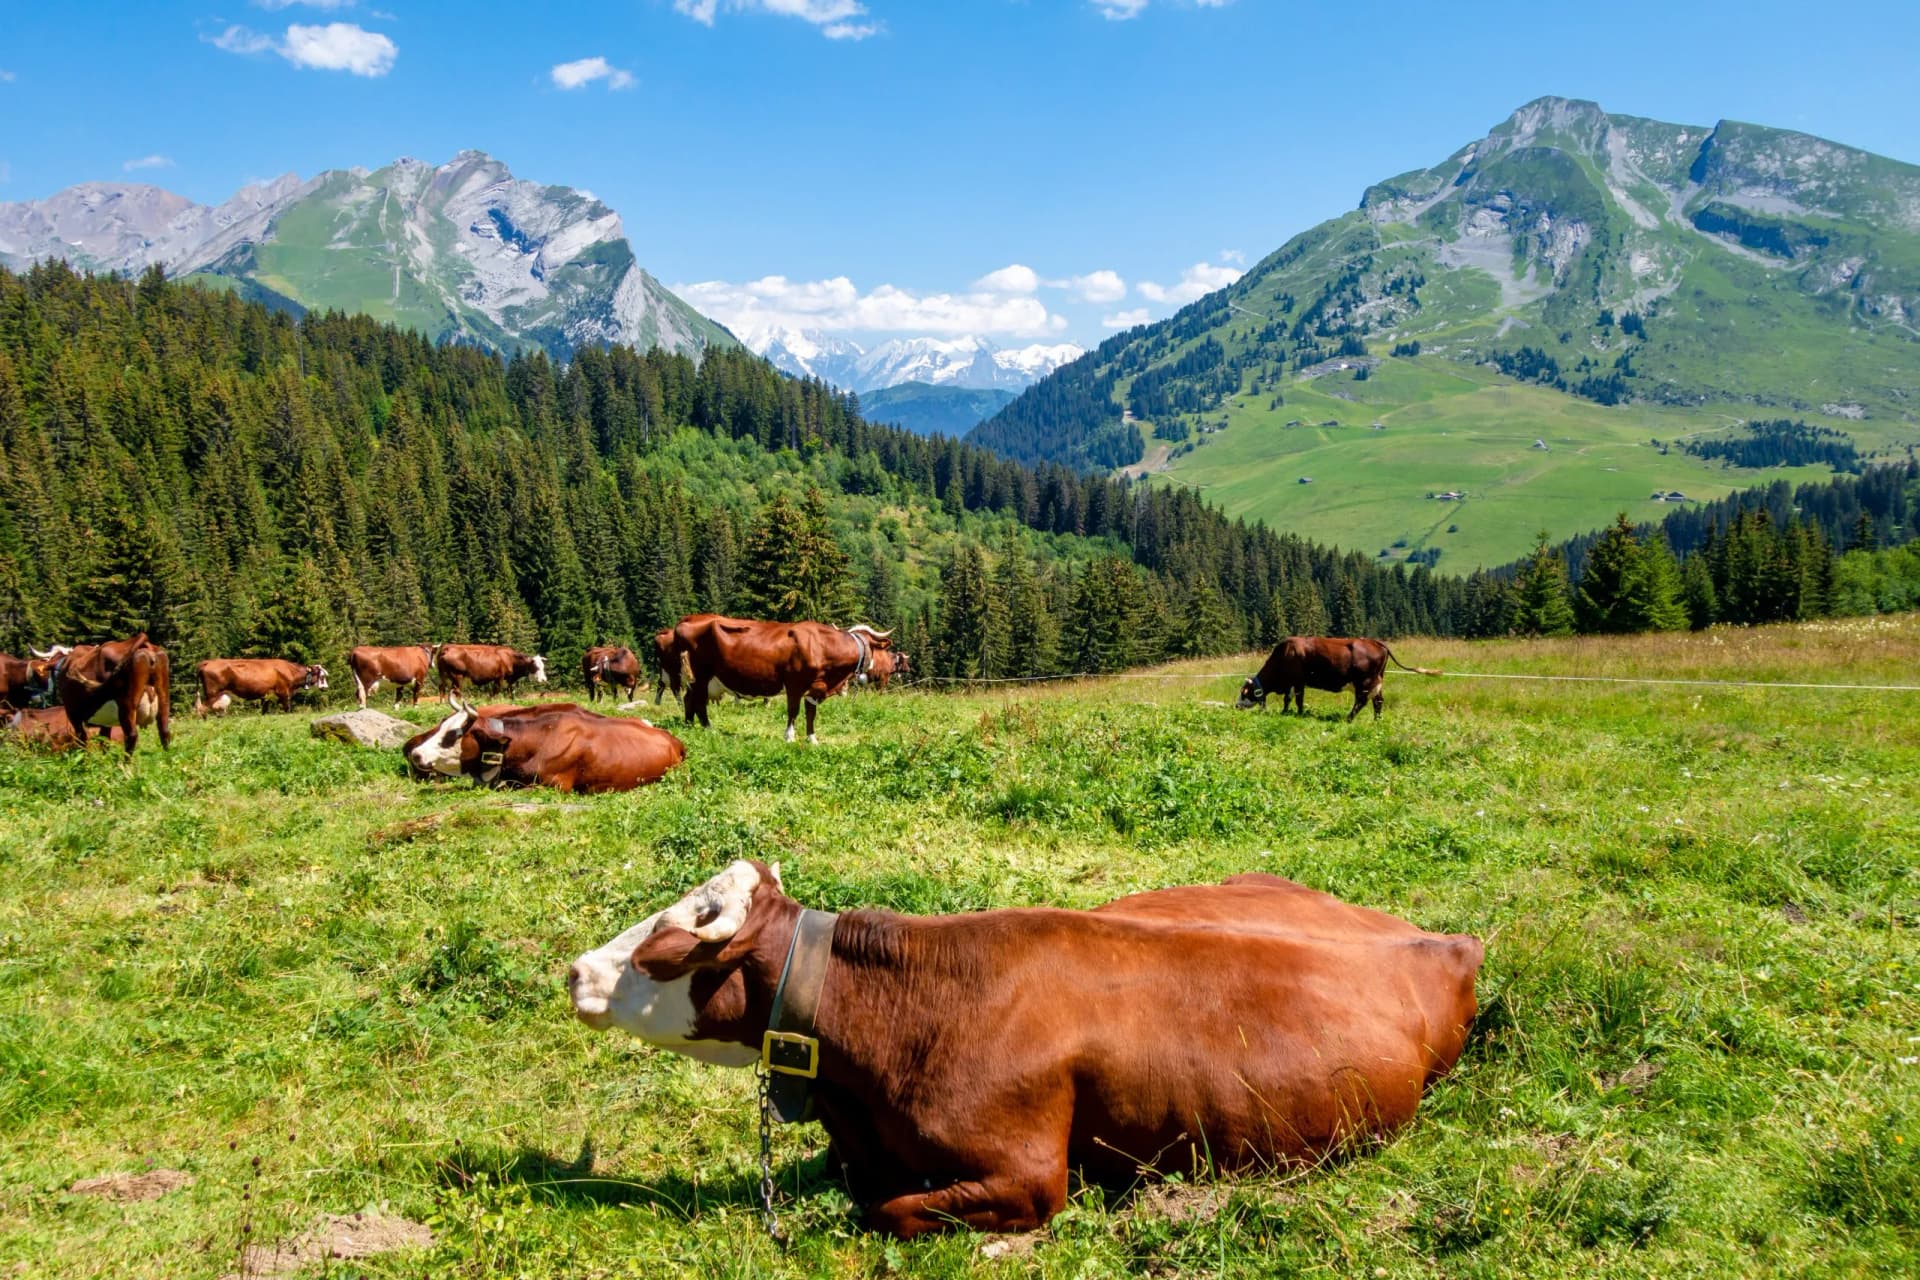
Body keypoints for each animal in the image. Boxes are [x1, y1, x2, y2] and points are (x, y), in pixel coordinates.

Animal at [195, 657, 329, 714]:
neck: (290, 671)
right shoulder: (284, 692)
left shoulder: (266, 695)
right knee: (201, 708)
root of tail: (209, 661)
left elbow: (264, 711)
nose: (326, 687)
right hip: (212, 693)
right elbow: (287, 708)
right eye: (322, 676)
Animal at [674, 615, 892, 742]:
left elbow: (811, 713)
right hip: (700, 674)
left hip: (697, 679)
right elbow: (793, 711)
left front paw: (812, 739)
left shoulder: (816, 687)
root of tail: (689, 619)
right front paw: (789, 737)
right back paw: (709, 729)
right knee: (699, 702)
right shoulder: (794, 683)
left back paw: (689, 725)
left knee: (689, 699)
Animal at [1236, 636, 1441, 721]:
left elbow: (1298, 699)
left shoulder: (1298, 681)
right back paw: (1377, 720)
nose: (1236, 706)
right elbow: (1288, 699)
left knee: (1361, 701)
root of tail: (1376, 643)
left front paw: (1299, 714)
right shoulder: (1291, 683)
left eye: (1244, 692)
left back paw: (1348, 718)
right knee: (1378, 701)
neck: (1285, 654)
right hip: (1376, 682)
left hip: (1364, 682)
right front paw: (1285, 712)